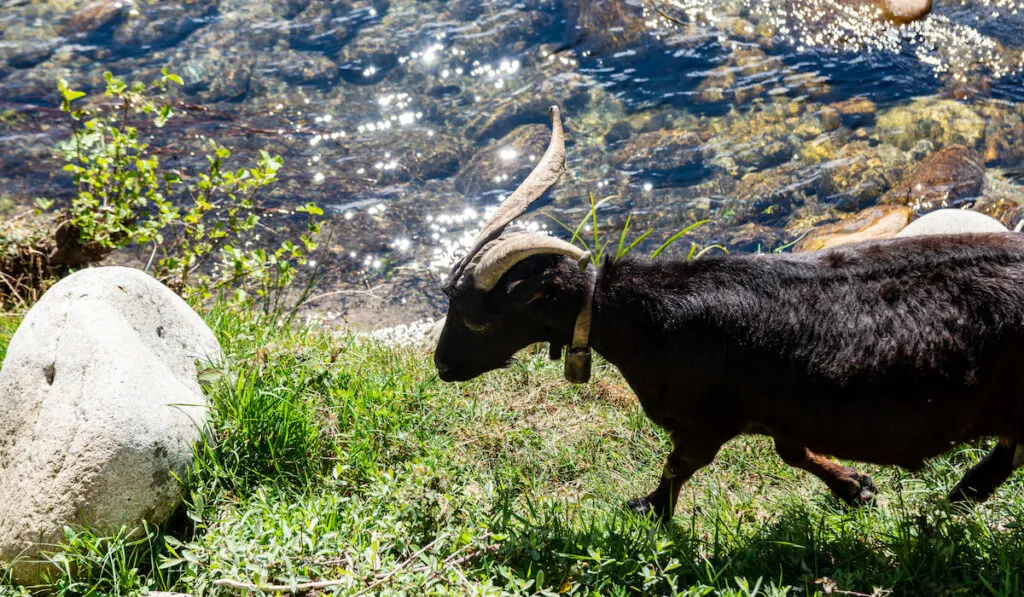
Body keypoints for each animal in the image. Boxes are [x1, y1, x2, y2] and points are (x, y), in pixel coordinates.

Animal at [436, 108, 1024, 524]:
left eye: (478, 318)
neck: (642, 319)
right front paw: (856, 488)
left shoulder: (704, 419)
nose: (442, 366)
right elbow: (792, 452)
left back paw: (949, 504)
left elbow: (680, 465)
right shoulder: (783, 410)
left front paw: (649, 511)